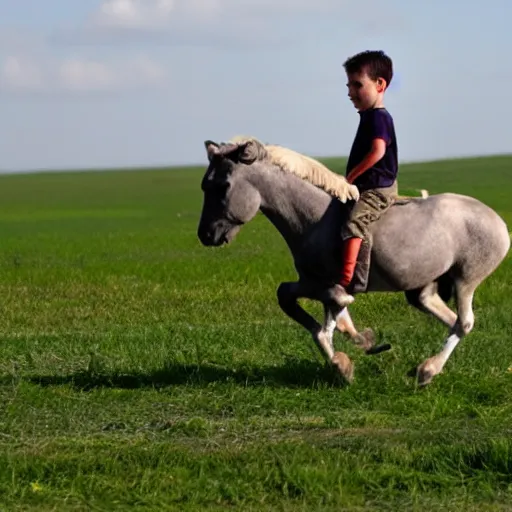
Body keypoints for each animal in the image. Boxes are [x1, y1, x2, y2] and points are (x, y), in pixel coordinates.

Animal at [195, 136, 508, 384]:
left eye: (222, 185)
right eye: (204, 185)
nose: (205, 234)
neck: (313, 219)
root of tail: (499, 222)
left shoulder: (324, 283)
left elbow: (329, 313)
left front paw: (344, 362)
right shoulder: (309, 281)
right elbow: (291, 299)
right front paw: (356, 346)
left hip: (465, 280)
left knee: (464, 323)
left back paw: (427, 371)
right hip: (423, 289)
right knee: (450, 319)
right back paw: (426, 367)